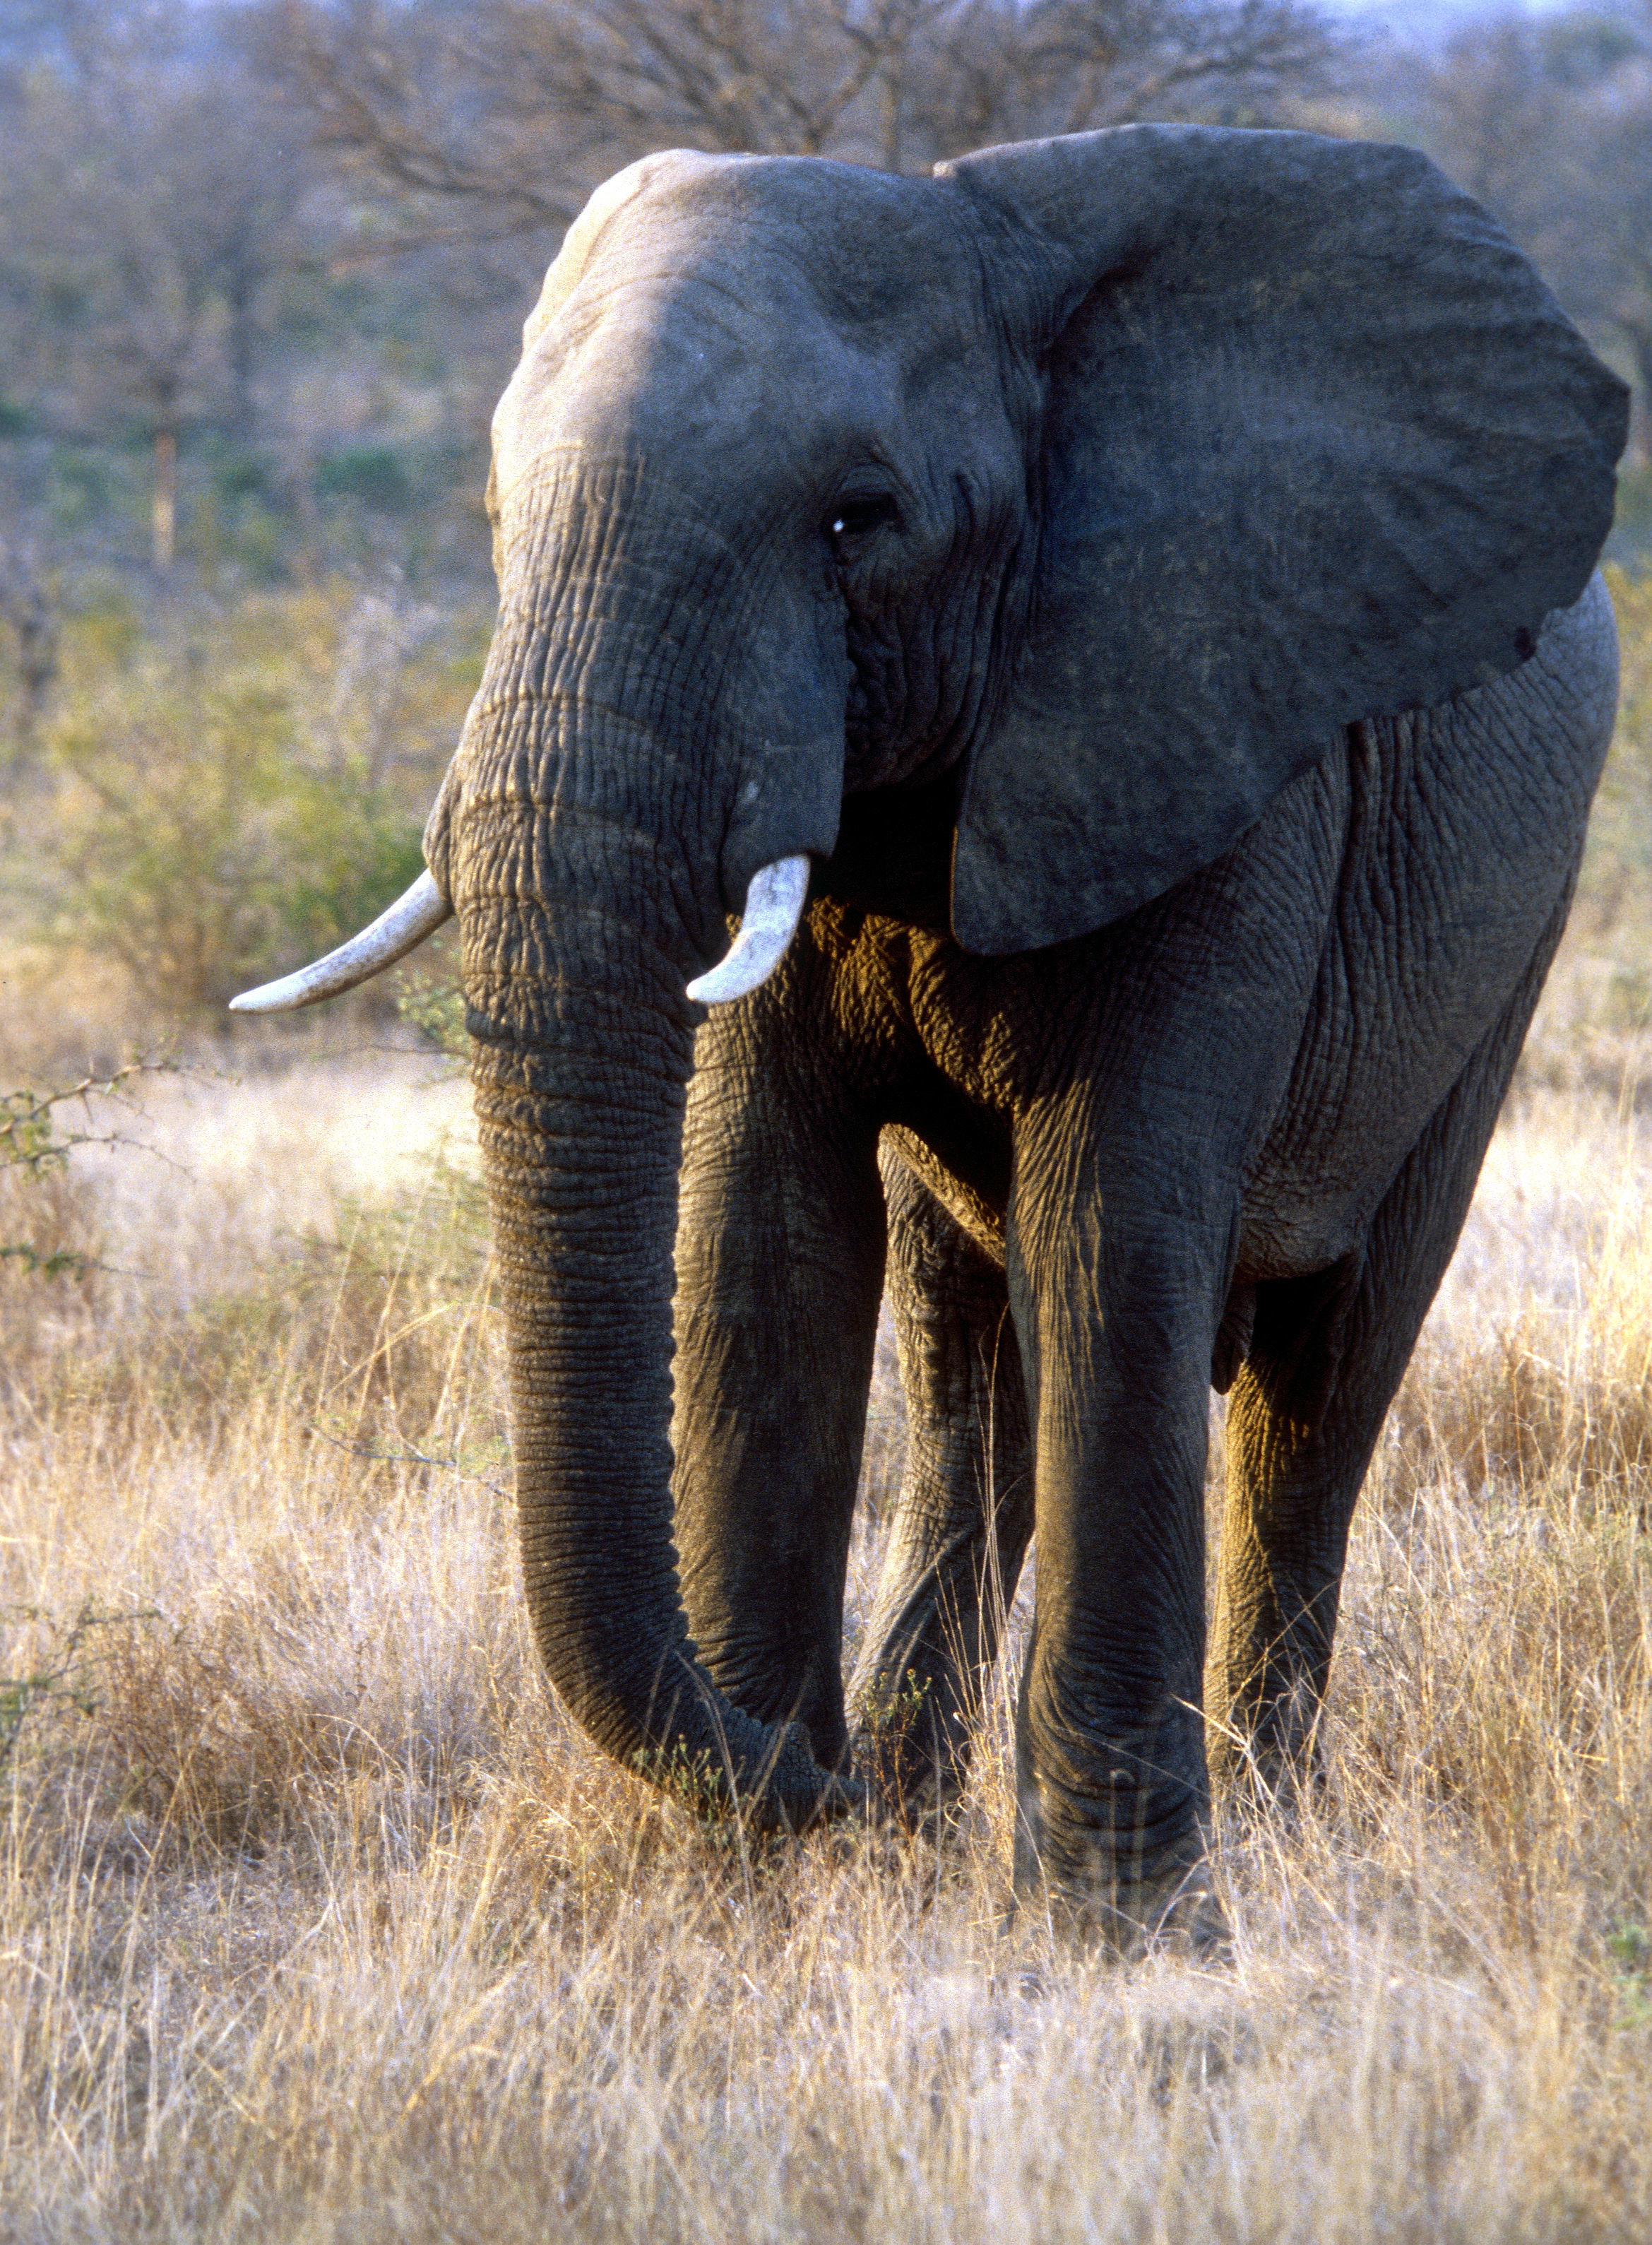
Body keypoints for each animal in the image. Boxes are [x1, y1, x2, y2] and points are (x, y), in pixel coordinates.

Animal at [235, 127, 1624, 1948]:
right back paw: (919, 1796)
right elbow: (764, 1234)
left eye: (857, 520)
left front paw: (1121, 1938)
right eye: (491, 517)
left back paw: (1263, 1824)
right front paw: (760, 1895)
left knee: (1317, 1384)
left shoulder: (1210, 738)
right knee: (970, 1357)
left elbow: (1111, 1228)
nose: (798, 1772)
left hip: (1506, 942)